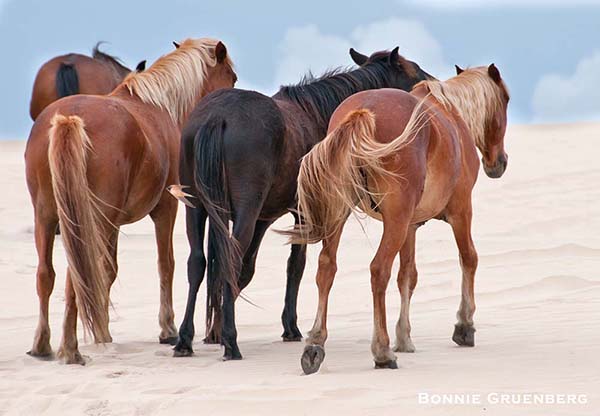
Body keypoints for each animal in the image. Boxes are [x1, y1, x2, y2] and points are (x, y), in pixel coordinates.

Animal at [25, 39, 237, 364]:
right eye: (231, 78)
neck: (160, 106)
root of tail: (69, 118)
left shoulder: (110, 223)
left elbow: (106, 272)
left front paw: (102, 330)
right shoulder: (166, 208)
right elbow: (164, 265)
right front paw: (166, 328)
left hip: (47, 217)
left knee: (46, 274)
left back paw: (43, 344)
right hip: (92, 221)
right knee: (79, 276)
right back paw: (71, 348)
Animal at [171, 46, 434, 360]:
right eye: (413, 71)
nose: (432, 88)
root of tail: (217, 116)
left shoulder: (262, 218)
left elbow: (243, 269)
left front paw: (214, 329)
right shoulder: (299, 214)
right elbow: (293, 266)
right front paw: (288, 327)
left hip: (196, 208)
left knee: (198, 262)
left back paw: (185, 339)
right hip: (245, 211)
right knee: (230, 259)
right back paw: (231, 342)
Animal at [290, 65, 510, 374]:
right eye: (505, 100)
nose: (499, 162)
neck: (451, 113)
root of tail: (363, 112)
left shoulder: (410, 226)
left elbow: (408, 276)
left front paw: (404, 337)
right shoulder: (460, 210)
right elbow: (468, 258)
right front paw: (464, 325)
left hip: (341, 213)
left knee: (326, 267)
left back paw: (315, 345)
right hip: (395, 219)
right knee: (378, 270)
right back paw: (381, 351)